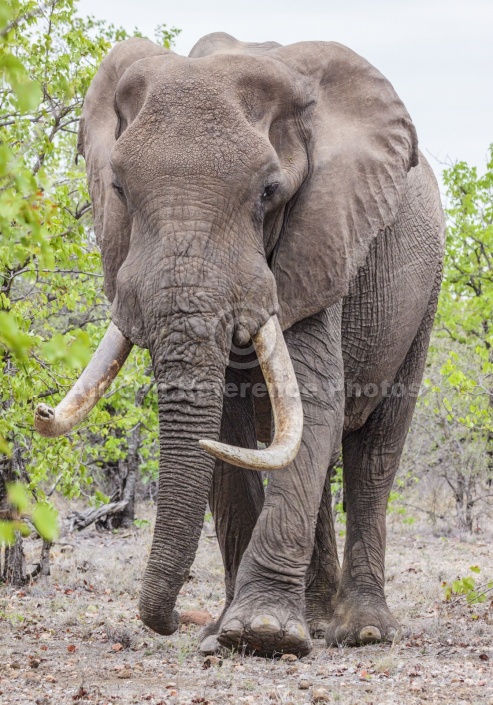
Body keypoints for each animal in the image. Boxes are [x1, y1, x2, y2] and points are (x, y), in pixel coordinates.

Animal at [33, 30, 442, 656]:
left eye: (269, 192)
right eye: (119, 189)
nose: (178, 621)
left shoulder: (321, 238)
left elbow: (315, 395)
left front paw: (263, 634)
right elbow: (228, 423)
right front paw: (229, 635)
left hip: (423, 295)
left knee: (375, 451)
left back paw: (362, 631)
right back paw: (314, 619)